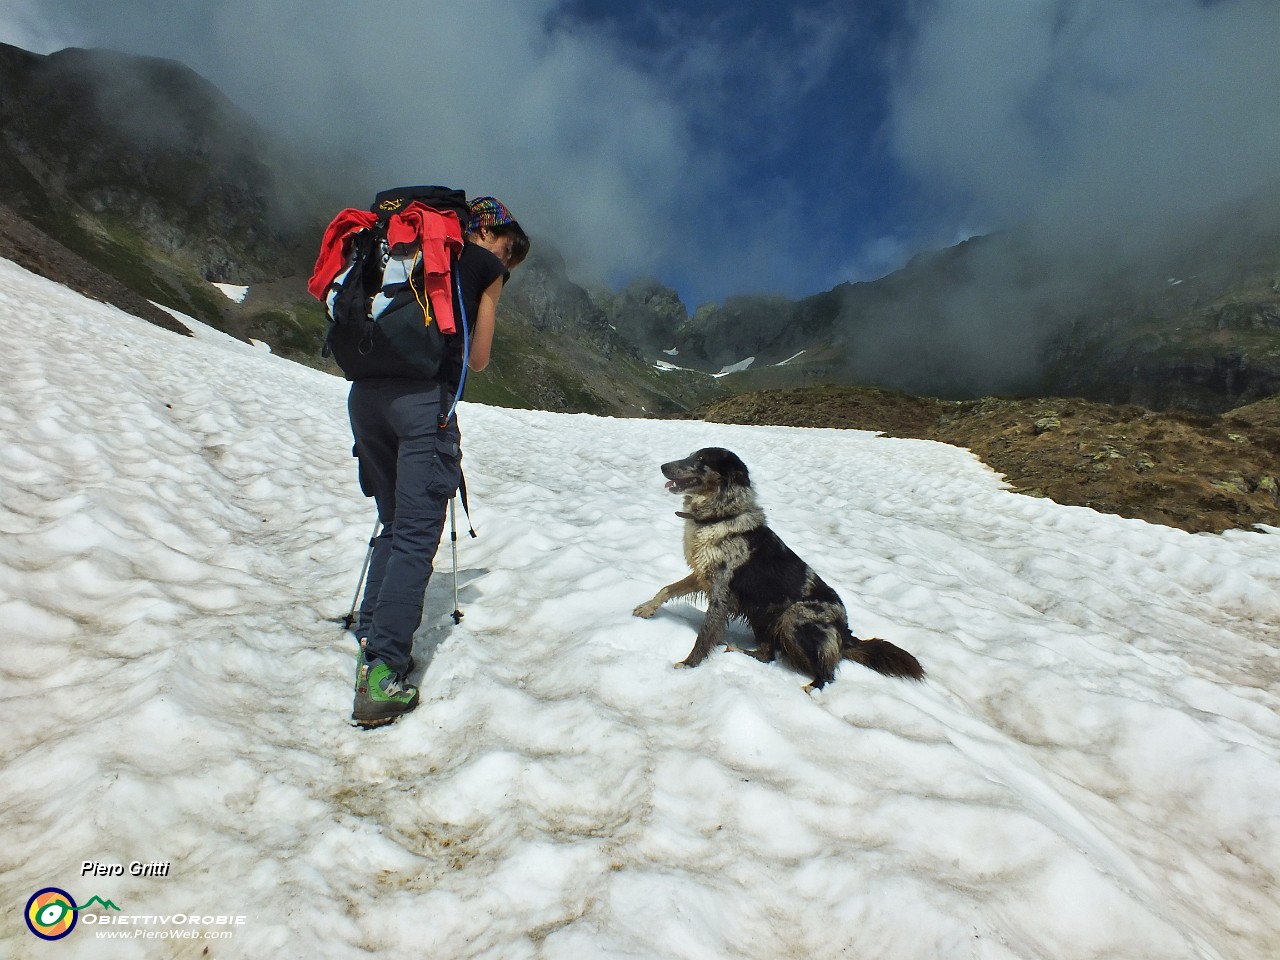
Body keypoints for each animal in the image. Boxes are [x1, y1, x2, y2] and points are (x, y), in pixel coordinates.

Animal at [632, 450, 921, 691]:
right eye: (691, 455)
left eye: (701, 460)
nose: (663, 466)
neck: (719, 516)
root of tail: (845, 632)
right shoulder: (703, 575)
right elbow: (666, 589)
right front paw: (647, 608)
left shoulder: (721, 592)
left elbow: (704, 636)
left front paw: (687, 666)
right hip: (763, 613)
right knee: (767, 654)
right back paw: (740, 651)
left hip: (793, 617)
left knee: (826, 673)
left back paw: (812, 688)